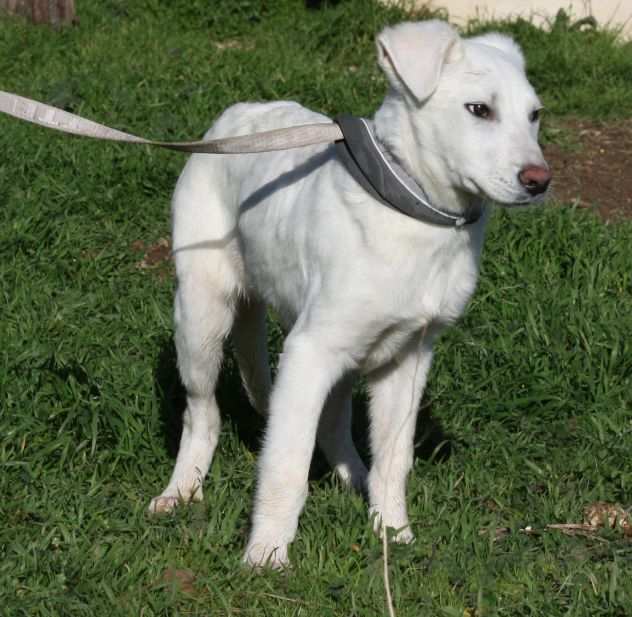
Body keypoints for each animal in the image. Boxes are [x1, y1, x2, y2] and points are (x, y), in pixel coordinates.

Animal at [148, 19, 548, 568]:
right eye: (479, 110)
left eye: (535, 116)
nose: (539, 181)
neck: (415, 213)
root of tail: (235, 115)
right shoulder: (309, 351)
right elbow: (286, 463)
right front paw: (266, 554)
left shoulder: (408, 356)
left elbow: (394, 459)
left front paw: (393, 532)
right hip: (202, 319)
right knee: (202, 413)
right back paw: (182, 490)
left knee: (332, 423)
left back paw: (354, 478)